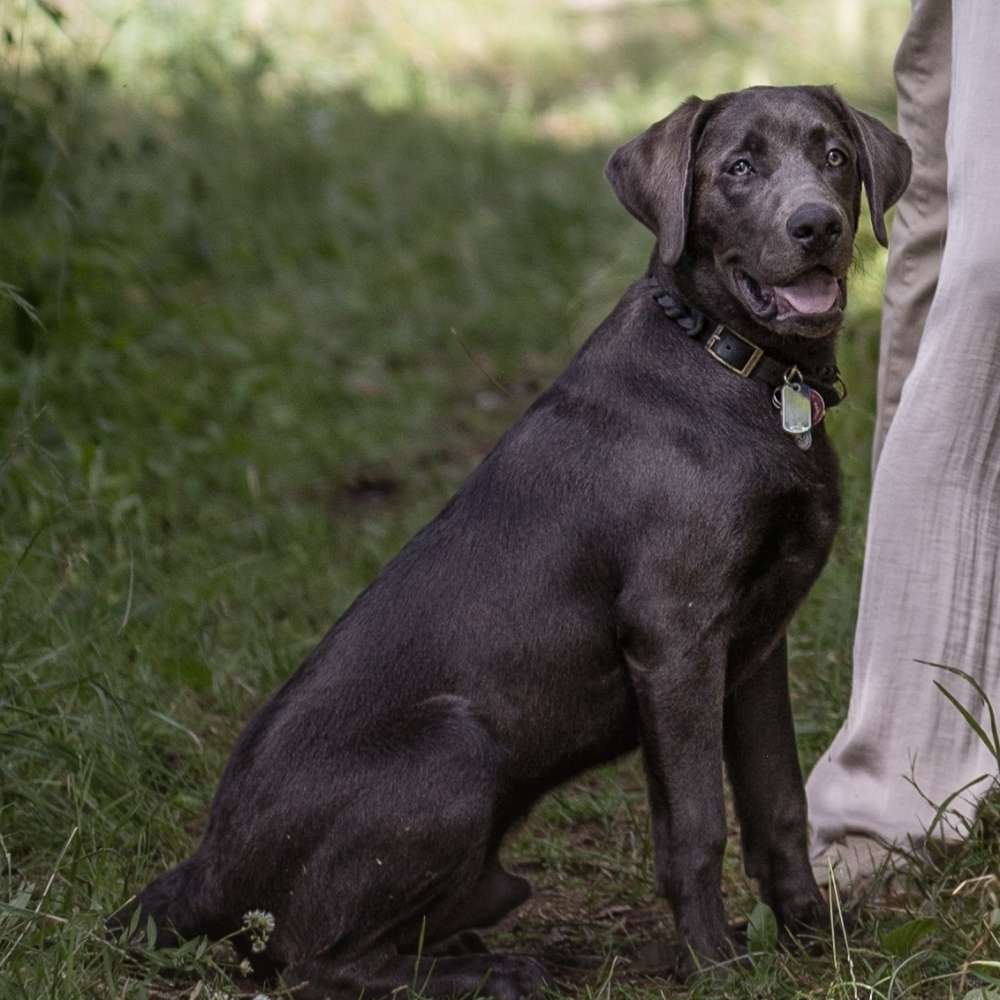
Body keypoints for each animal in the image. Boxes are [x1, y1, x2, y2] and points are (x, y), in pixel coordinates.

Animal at [113, 88, 912, 1000]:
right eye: (738, 168)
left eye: (836, 157)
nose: (817, 225)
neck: (740, 365)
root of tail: (206, 870)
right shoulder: (674, 638)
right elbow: (697, 824)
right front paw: (715, 965)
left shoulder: (754, 643)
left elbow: (777, 802)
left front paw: (817, 937)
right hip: (454, 749)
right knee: (306, 960)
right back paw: (493, 972)